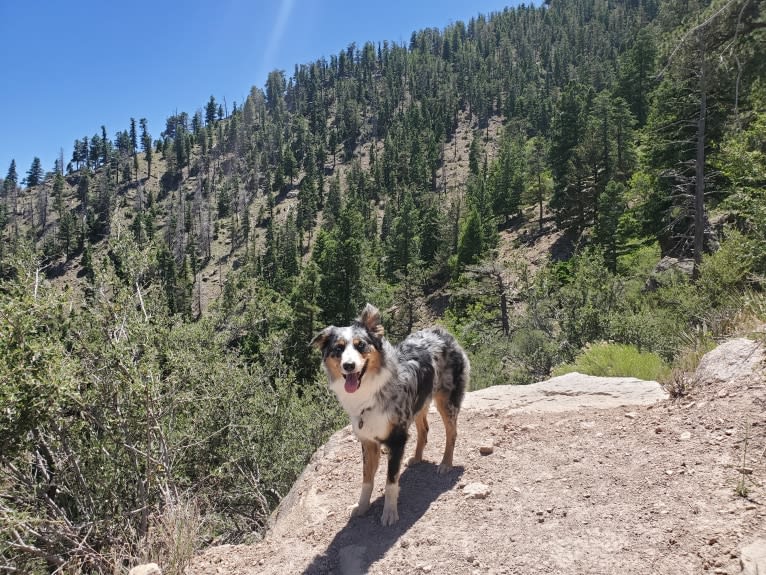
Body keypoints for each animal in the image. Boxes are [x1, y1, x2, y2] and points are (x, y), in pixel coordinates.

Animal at [310, 306, 468, 528]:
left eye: (361, 345)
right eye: (339, 348)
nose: (349, 365)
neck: (370, 392)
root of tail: (442, 332)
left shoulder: (397, 439)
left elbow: (391, 481)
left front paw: (390, 513)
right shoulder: (368, 441)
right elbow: (367, 479)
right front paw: (362, 506)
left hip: (446, 400)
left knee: (452, 433)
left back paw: (446, 463)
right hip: (419, 401)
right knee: (424, 429)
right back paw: (417, 458)